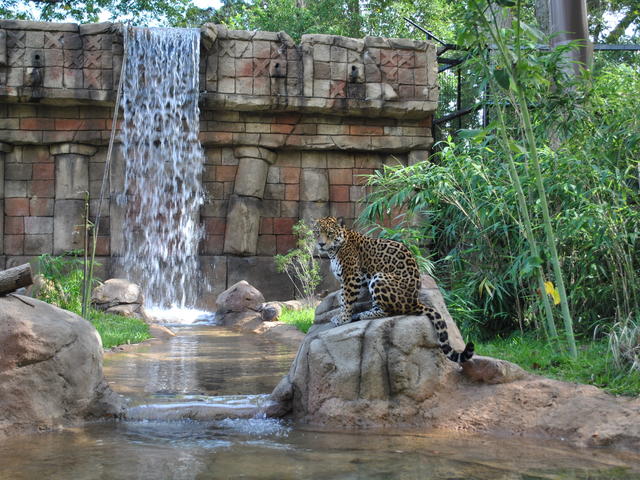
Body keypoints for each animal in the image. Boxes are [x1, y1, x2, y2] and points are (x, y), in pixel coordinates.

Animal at [313, 216, 474, 364]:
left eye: (330, 233)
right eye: (317, 232)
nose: (321, 244)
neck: (334, 250)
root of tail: (414, 301)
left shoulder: (351, 277)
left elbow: (347, 299)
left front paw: (343, 318)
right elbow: (342, 298)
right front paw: (341, 314)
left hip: (379, 277)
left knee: (388, 311)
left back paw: (360, 315)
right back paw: (359, 314)